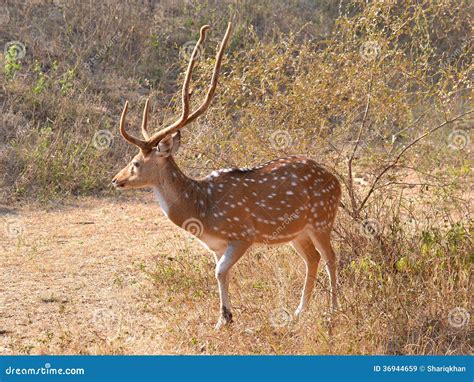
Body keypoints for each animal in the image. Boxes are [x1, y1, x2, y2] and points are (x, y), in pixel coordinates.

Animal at [113, 23, 342, 328]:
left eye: (136, 162)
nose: (116, 179)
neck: (201, 209)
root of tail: (337, 182)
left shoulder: (242, 234)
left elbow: (219, 272)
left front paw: (224, 320)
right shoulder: (216, 246)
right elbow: (221, 272)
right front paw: (225, 317)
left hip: (322, 219)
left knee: (330, 257)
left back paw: (333, 310)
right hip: (298, 230)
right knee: (312, 258)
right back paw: (299, 311)